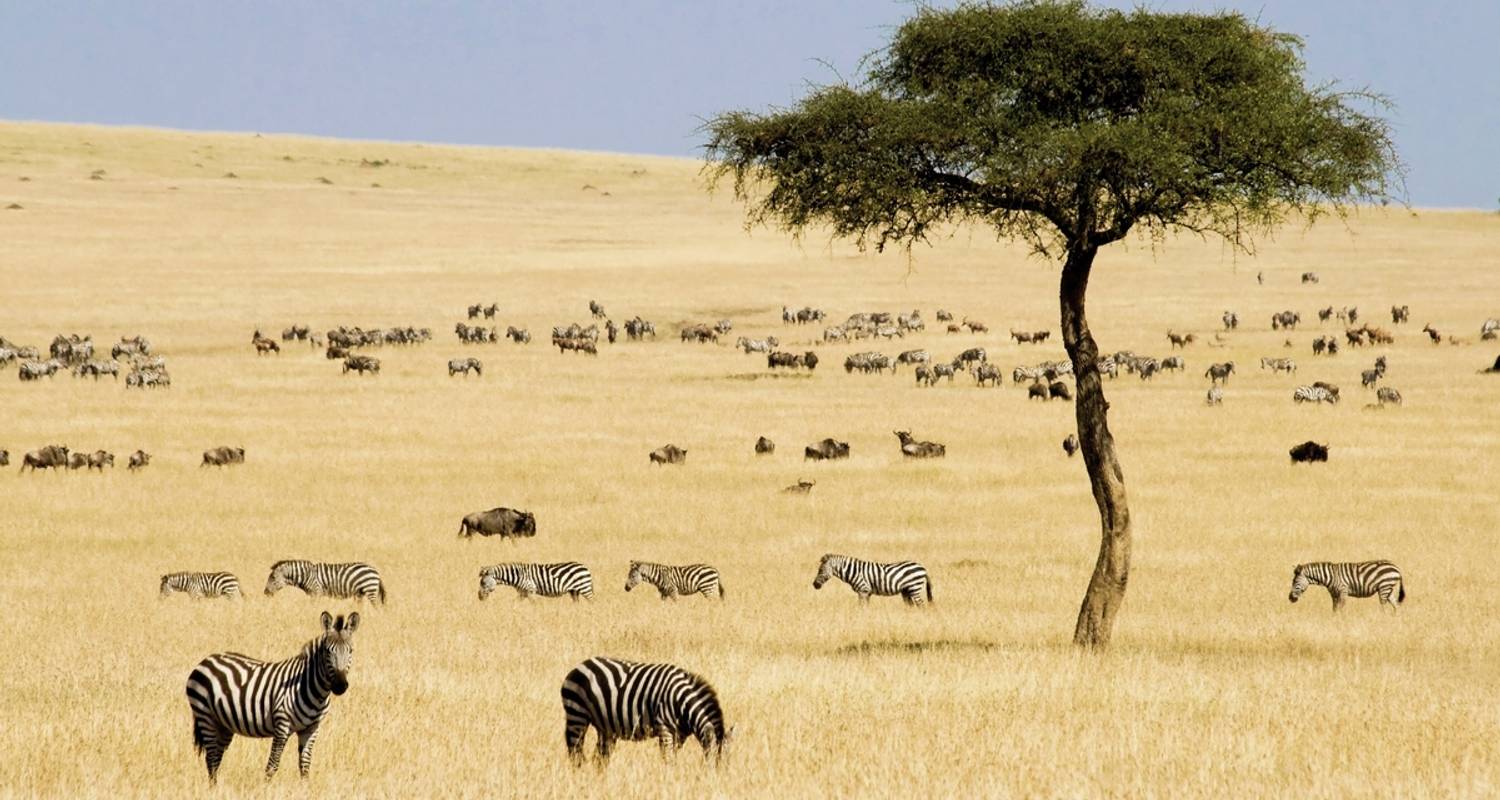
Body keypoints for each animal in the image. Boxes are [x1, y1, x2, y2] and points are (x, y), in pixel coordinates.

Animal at [186, 612, 361, 780]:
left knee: (216, 757)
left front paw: (305, 787)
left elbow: (305, 766)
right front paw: (266, 787)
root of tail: (206, 660)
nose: (340, 686)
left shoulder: (312, 729)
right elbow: (272, 765)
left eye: (351, 650)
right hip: (205, 716)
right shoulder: (282, 724)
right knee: (211, 758)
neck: (315, 691)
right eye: (327, 651)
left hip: (224, 723)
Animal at [561, 657, 729, 765]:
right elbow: (668, 758)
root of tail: (580, 666)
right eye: (715, 764)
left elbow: (672, 757)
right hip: (577, 716)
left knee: (600, 758)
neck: (682, 700)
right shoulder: (664, 728)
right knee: (575, 751)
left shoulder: (679, 734)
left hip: (605, 727)